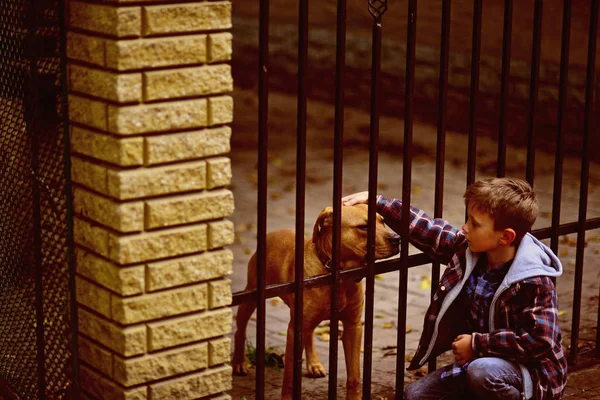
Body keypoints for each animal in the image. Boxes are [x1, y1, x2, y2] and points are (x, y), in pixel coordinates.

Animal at [232, 205, 400, 398]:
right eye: (363, 227)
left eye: (383, 221)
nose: (398, 239)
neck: (337, 273)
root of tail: (272, 234)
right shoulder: (295, 330)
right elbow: (289, 379)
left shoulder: (353, 327)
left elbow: (354, 375)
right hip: (251, 297)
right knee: (240, 330)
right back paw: (239, 362)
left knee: (309, 335)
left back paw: (313, 364)